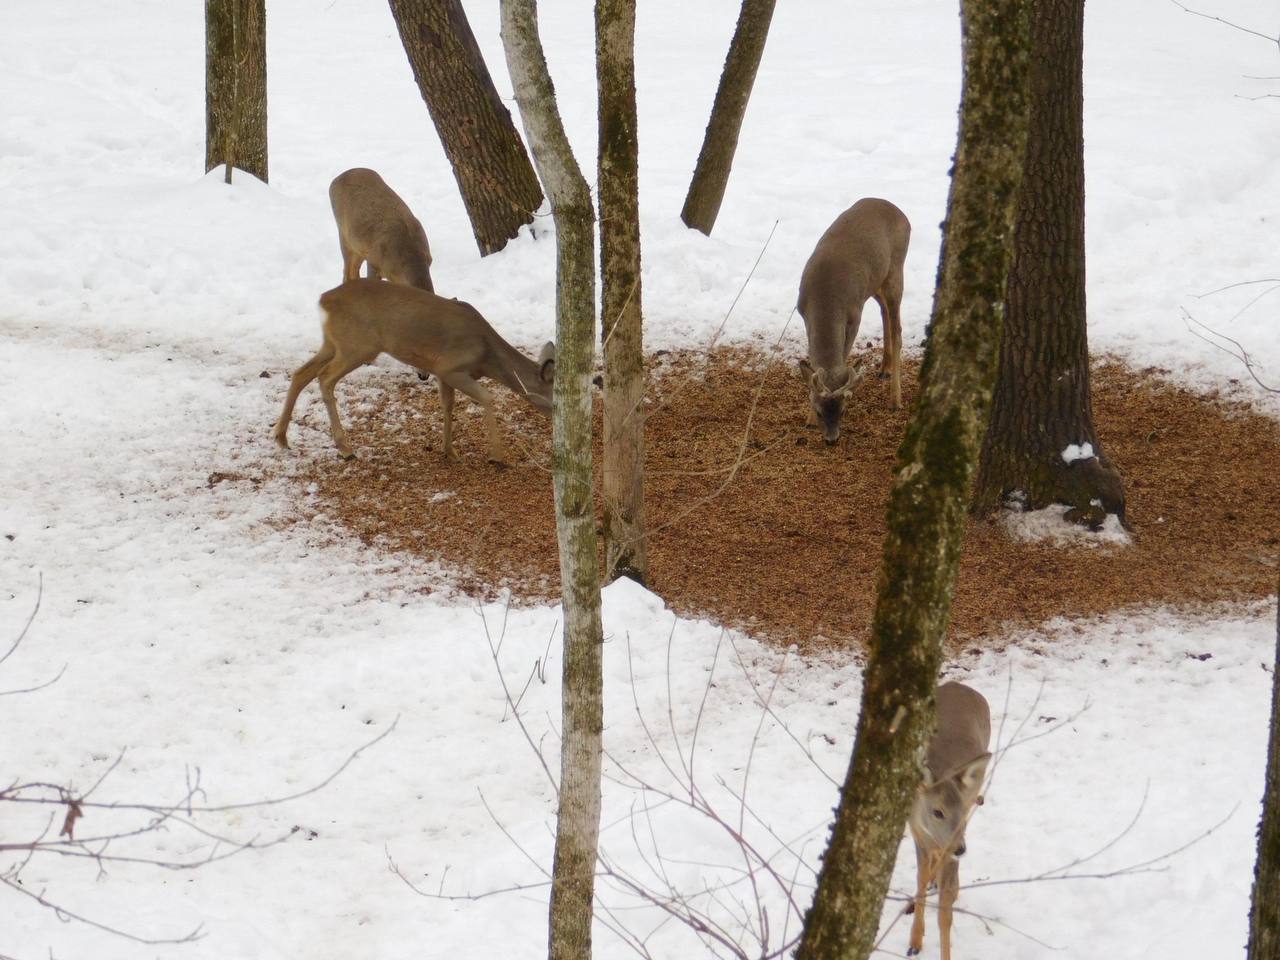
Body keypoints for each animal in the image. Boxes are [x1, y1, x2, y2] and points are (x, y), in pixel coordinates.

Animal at [275, 277, 555, 465]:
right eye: (554, 399)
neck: (486, 355)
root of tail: (324, 300)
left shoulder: (442, 372)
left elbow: (448, 405)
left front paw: (449, 450)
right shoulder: (451, 367)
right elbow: (488, 397)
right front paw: (497, 456)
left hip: (333, 343)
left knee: (301, 373)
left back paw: (281, 437)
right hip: (358, 346)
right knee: (324, 378)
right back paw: (346, 448)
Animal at [798, 200, 911, 450]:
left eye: (843, 411)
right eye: (820, 411)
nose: (831, 440)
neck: (825, 299)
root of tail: (898, 211)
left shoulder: (854, 315)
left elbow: (844, 354)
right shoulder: (803, 313)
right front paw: (808, 421)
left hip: (895, 270)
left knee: (897, 329)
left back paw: (895, 400)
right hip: (875, 281)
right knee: (884, 312)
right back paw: (884, 369)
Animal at [906, 675, 993, 960]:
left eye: (962, 809)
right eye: (937, 811)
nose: (961, 849)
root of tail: (960, 685)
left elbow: (945, 915)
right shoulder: (917, 835)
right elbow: (920, 880)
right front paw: (914, 942)